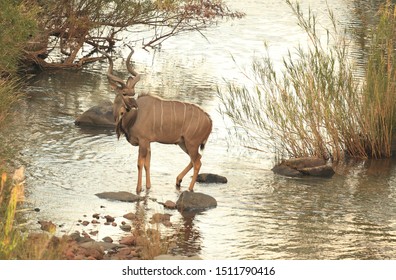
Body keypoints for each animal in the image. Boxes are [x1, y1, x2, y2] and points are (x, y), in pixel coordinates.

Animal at [99, 47, 212, 194]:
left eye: (133, 93)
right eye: (124, 93)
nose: (134, 106)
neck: (133, 117)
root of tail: (209, 120)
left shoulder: (143, 141)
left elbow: (140, 163)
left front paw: (138, 189)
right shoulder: (148, 143)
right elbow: (147, 163)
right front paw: (148, 187)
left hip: (191, 143)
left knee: (197, 161)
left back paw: (190, 188)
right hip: (183, 143)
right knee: (196, 159)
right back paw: (178, 180)